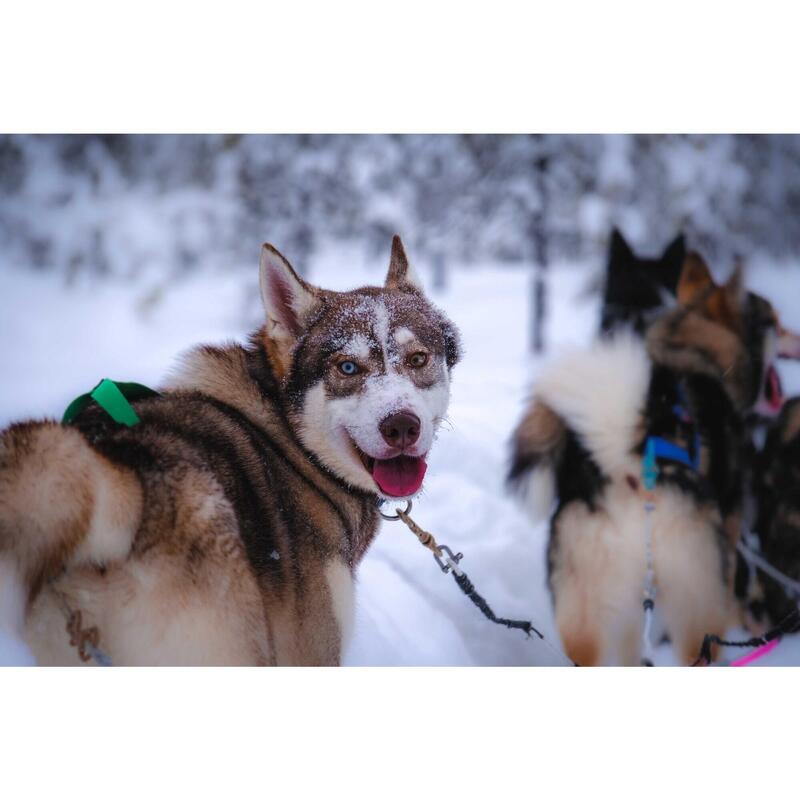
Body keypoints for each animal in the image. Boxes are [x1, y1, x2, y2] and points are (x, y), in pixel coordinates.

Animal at [510, 253, 796, 664]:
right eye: (774, 320)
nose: (796, 337)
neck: (692, 347)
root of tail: (629, 466)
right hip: (698, 601)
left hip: (587, 611)